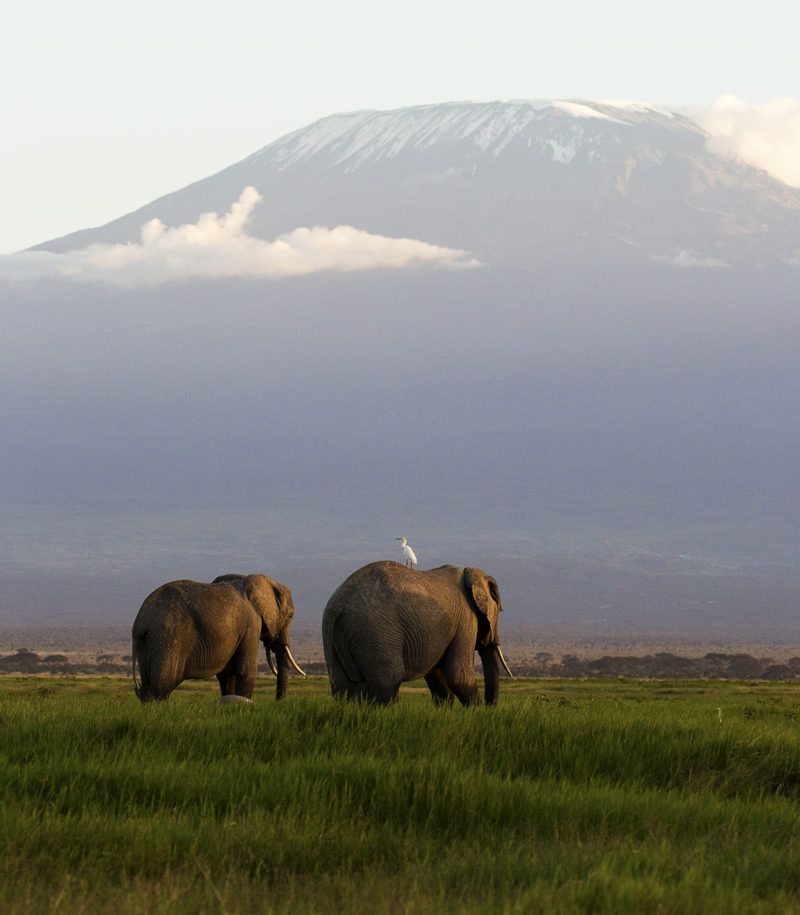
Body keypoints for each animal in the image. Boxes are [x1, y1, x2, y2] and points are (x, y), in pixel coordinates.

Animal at [131, 572, 306, 700]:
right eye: (290, 616)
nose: (279, 702)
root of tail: (140, 621)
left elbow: (227, 675)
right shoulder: (251, 622)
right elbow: (245, 671)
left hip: (146, 643)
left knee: (147, 685)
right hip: (167, 640)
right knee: (163, 684)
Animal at [320, 560, 512, 708]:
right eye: (500, 610)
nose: (490, 708)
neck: (470, 573)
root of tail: (338, 603)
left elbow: (437, 677)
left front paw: (445, 713)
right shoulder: (466, 619)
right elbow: (459, 677)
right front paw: (476, 713)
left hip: (335, 635)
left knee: (343, 686)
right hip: (375, 632)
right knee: (387, 681)